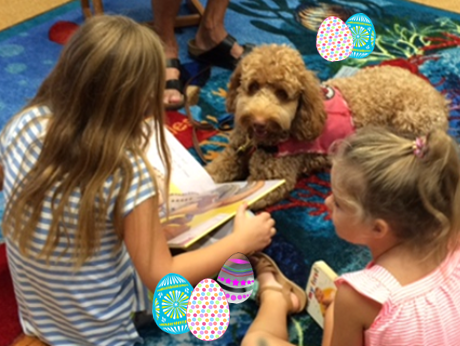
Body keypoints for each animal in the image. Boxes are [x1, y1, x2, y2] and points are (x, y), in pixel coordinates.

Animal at [205, 44, 450, 209]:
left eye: (282, 94)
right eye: (253, 86)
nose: (259, 121)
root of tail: (440, 100)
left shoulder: (274, 178)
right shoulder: (232, 154)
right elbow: (211, 174)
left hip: (409, 122)